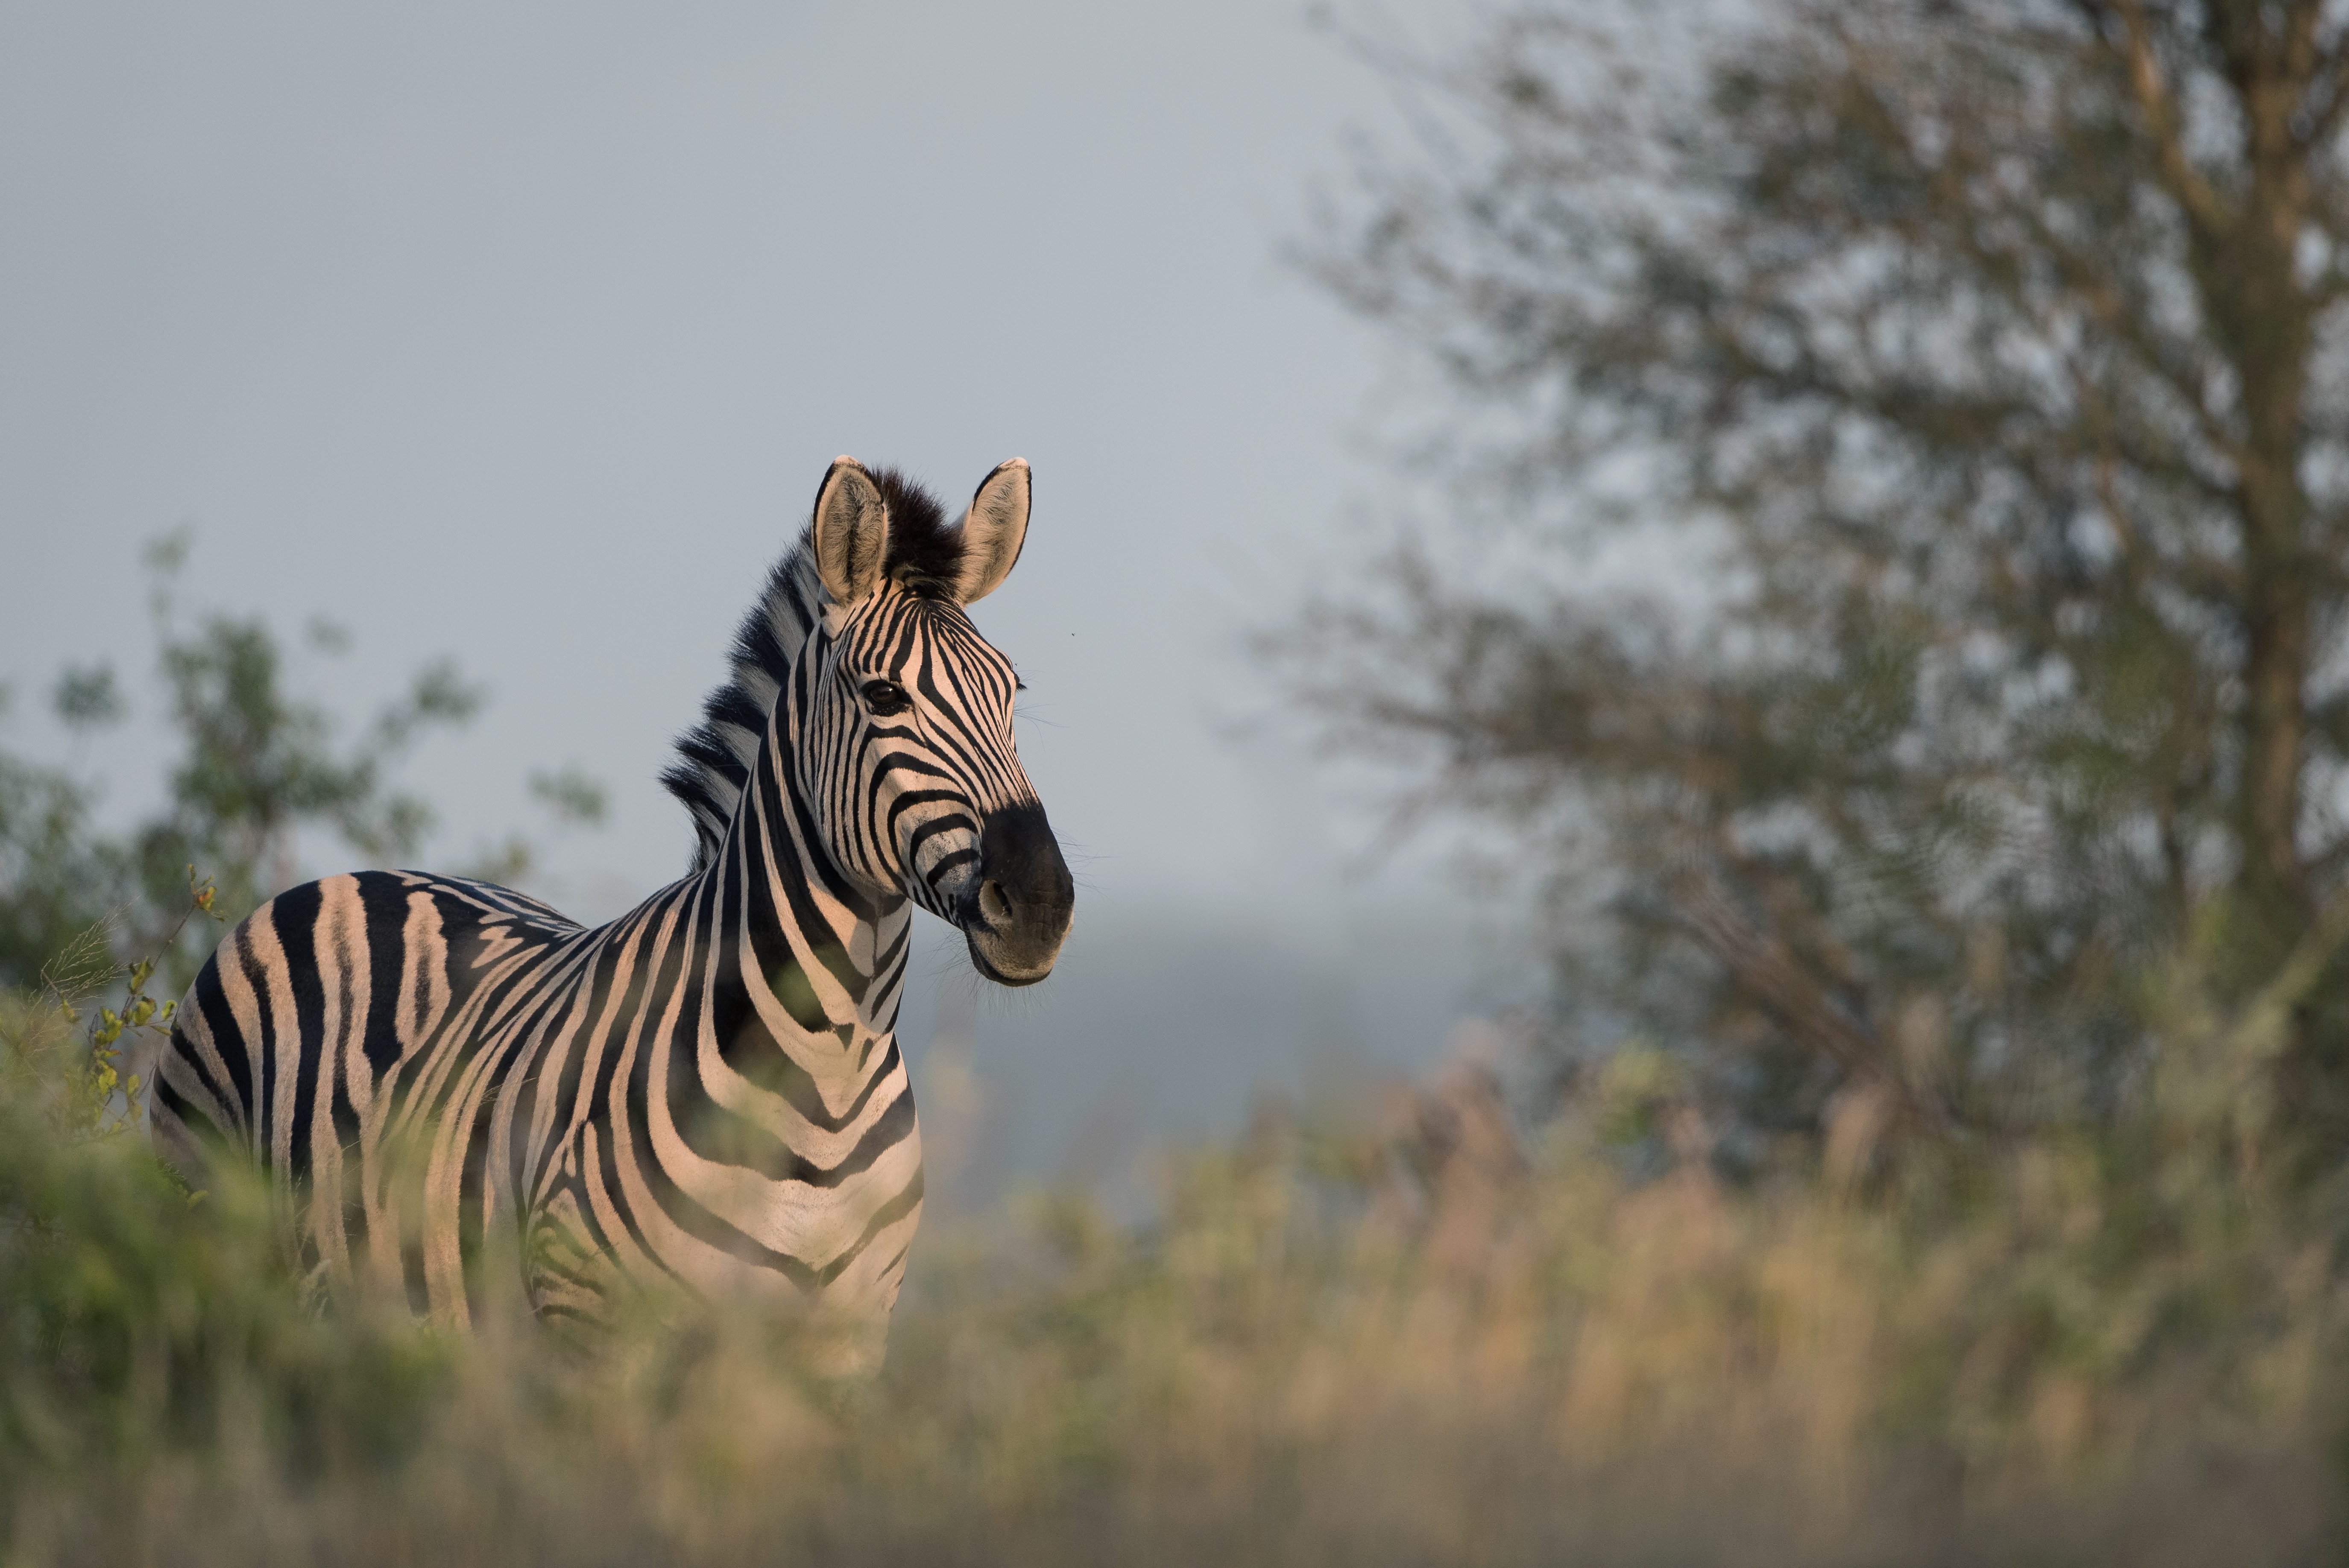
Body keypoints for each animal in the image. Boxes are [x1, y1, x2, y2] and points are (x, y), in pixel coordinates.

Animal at [149, 456, 1074, 1371]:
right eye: (883, 698)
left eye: (1011, 693)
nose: (1041, 904)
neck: (827, 1079)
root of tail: (347, 878)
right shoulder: (595, 1335)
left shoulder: (845, 1345)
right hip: (204, 1236)